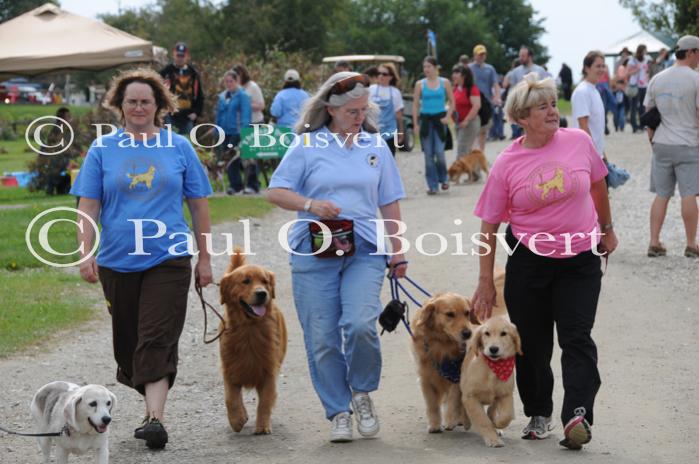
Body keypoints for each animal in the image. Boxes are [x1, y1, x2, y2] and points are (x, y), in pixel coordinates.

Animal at [217, 250, 286, 436]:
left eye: (265, 281)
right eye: (246, 281)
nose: (262, 293)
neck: (249, 329)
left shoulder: (268, 369)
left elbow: (265, 402)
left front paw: (262, 426)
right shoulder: (230, 368)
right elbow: (231, 398)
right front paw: (237, 420)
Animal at [410, 292, 476, 434]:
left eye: (467, 313)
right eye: (450, 314)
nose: (468, 333)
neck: (442, 343)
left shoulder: (456, 376)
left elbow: (453, 399)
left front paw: (450, 420)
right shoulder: (425, 379)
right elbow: (432, 405)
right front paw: (434, 424)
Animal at [462, 316, 524, 446]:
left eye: (504, 333)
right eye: (487, 333)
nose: (493, 349)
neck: (493, 368)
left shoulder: (505, 394)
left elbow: (507, 415)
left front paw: (497, 424)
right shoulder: (470, 396)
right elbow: (482, 420)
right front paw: (492, 439)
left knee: (492, 409)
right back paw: (466, 421)